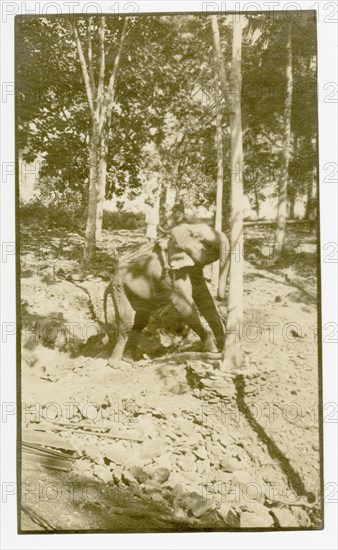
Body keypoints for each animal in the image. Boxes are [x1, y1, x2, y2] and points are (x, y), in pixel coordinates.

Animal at [103, 222, 230, 368]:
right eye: (201, 240)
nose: (221, 297)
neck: (170, 240)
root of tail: (109, 282)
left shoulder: (191, 269)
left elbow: (204, 298)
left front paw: (221, 344)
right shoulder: (171, 275)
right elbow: (183, 305)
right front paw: (213, 350)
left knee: (140, 321)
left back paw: (129, 359)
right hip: (119, 287)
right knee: (127, 322)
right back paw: (115, 364)